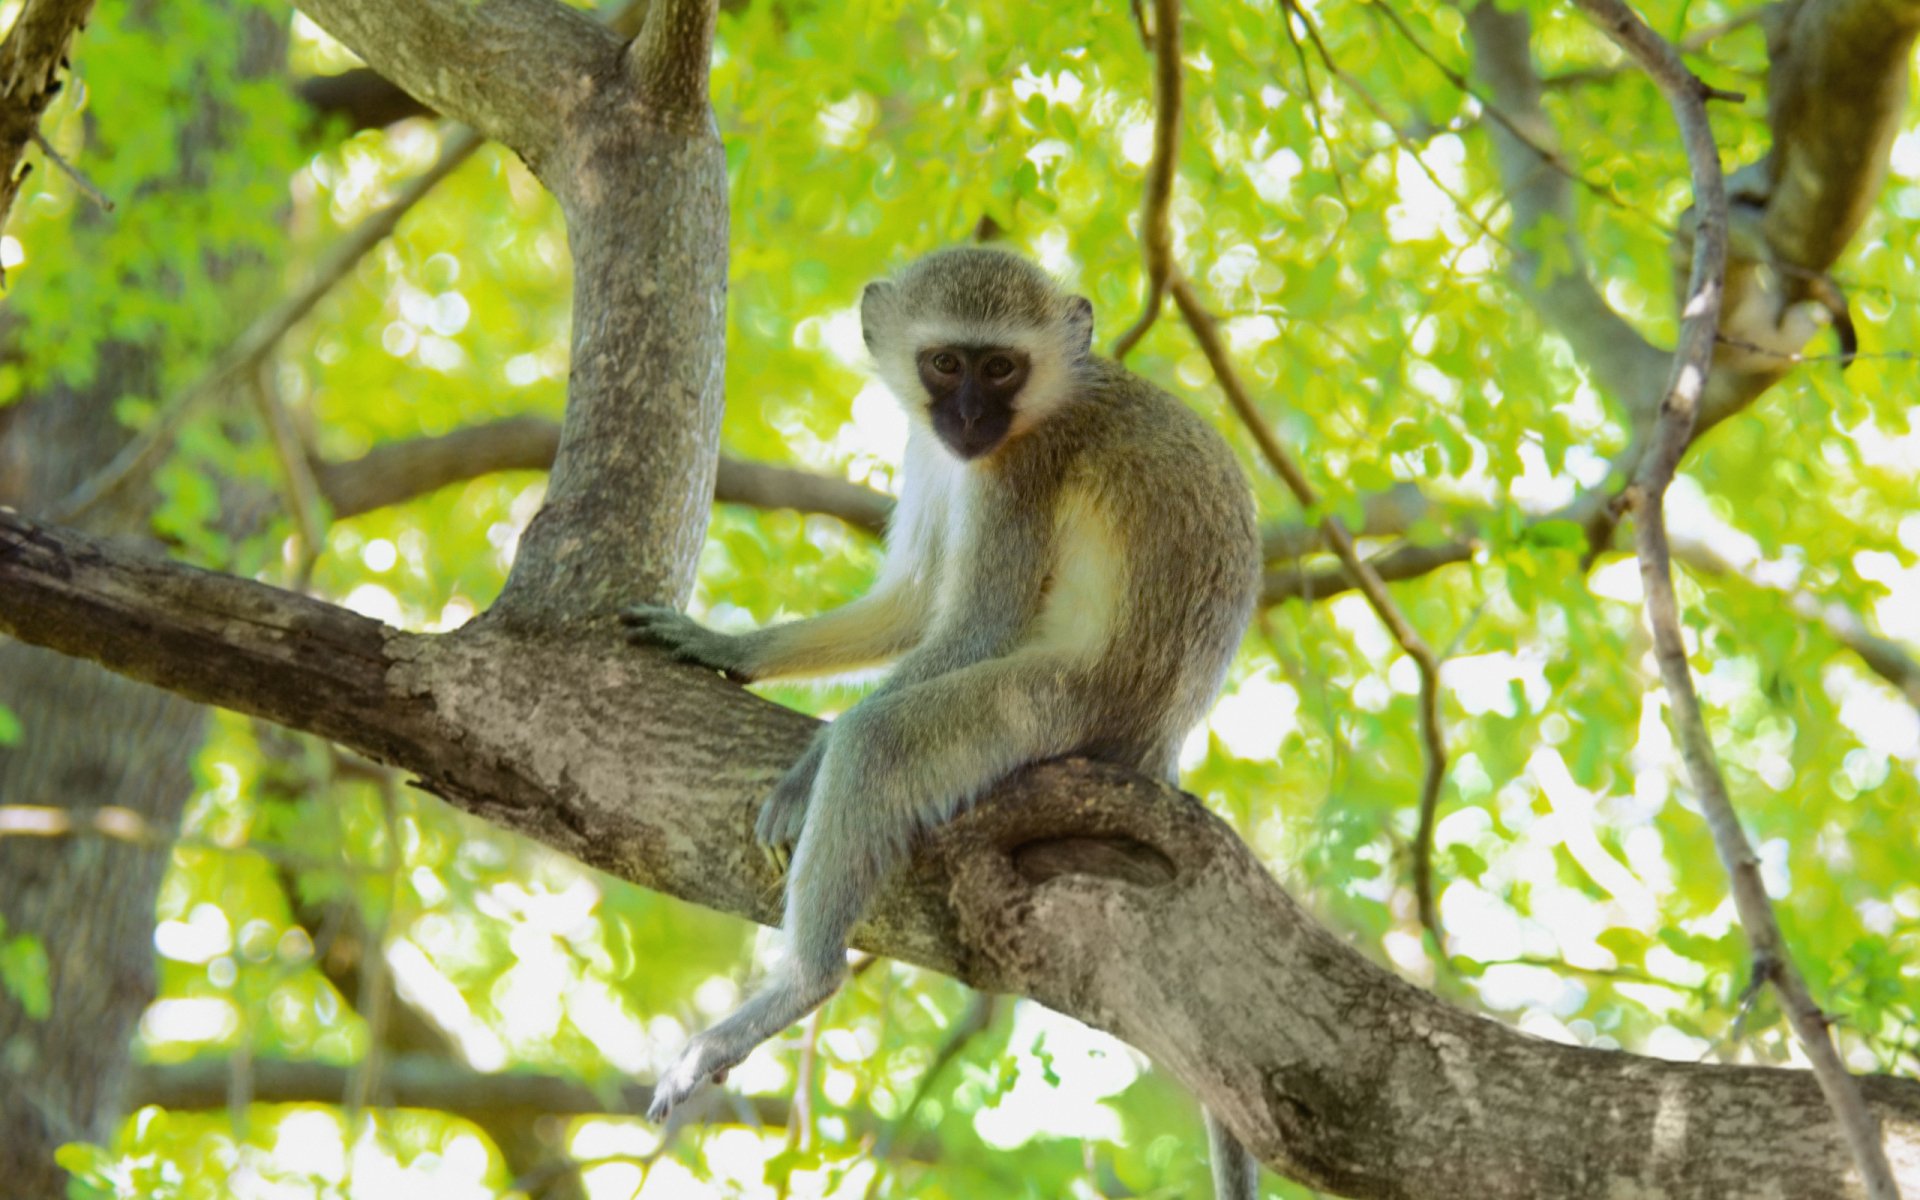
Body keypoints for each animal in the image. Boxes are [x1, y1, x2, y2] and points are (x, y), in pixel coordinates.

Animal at [621, 246, 1264, 1198]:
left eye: (1000, 368)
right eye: (945, 363)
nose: (966, 418)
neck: (1044, 405)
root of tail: (1158, 737)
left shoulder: (1019, 473)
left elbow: (974, 625)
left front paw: (810, 762)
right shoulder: (938, 455)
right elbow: (918, 604)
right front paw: (728, 644)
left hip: (1046, 705)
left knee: (882, 744)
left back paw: (801, 981)